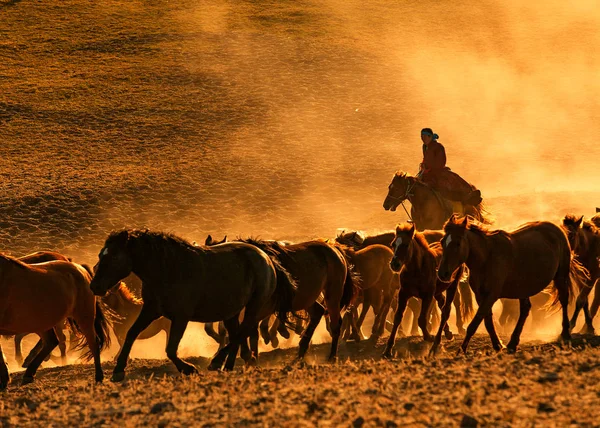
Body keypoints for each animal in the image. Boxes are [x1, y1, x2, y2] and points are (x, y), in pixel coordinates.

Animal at [0, 254, 110, 392]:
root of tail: (80, 269)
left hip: (84, 317)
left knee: (93, 342)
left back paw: (99, 376)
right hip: (43, 323)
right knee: (51, 341)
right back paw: (29, 371)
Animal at [89, 229, 296, 380]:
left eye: (114, 256)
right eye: (100, 254)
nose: (95, 286)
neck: (168, 269)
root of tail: (265, 257)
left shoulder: (181, 317)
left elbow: (170, 349)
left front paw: (188, 368)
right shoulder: (151, 310)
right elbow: (132, 333)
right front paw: (118, 370)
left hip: (254, 306)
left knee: (242, 332)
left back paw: (218, 362)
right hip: (232, 311)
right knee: (237, 333)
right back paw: (231, 364)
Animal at [204, 236, 358, 362]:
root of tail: (335, 250)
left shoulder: (260, 309)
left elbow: (246, 331)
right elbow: (245, 332)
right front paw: (250, 357)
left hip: (333, 295)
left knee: (335, 324)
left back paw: (331, 357)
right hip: (305, 298)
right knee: (318, 312)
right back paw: (300, 353)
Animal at [382, 222, 466, 356]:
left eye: (406, 245)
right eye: (393, 244)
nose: (394, 264)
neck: (418, 269)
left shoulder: (427, 296)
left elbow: (421, 319)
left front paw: (429, 337)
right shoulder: (403, 294)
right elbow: (397, 317)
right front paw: (388, 349)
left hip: (452, 285)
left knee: (446, 308)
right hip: (437, 291)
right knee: (442, 304)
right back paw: (448, 332)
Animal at [436, 216, 584, 352]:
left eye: (457, 243)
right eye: (442, 241)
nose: (442, 273)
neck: (487, 258)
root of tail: (558, 230)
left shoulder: (491, 295)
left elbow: (475, 323)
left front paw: (462, 350)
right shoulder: (481, 296)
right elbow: (487, 321)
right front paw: (497, 345)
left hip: (561, 277)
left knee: (564, 300)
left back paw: (565, 334)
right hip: (523, 288)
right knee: (525, 309)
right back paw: (513, 343)